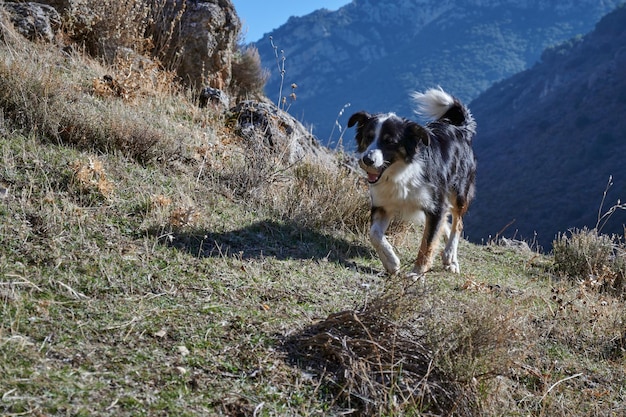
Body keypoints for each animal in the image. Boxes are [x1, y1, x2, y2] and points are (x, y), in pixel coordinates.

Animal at [348, 87, 476, 276]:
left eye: (389, 141)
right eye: (368, 137)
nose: (367, 160)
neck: (400, 173)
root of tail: (459, 128)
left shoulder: (436, 206)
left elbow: (427, 244)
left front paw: (417, 273)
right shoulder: (382, 204)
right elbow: (374, 234)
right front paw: (392, 263)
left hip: (458, 191)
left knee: (458, 223)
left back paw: (450, 257)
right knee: (447, 223)